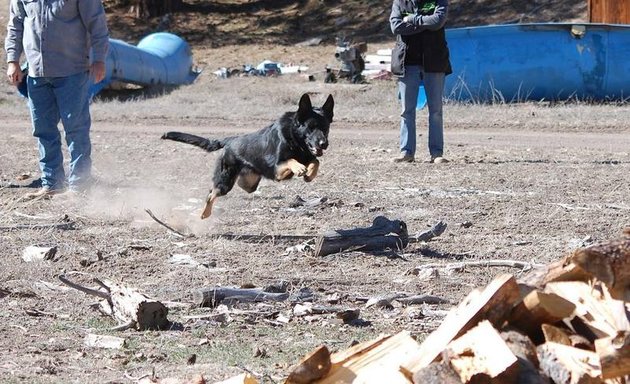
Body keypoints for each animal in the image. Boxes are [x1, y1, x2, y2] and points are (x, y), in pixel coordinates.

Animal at [163, 93, 336, 219]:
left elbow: (316, 161)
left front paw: (310, 174)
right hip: (225, 183)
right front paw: (299, 168)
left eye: (326, 128)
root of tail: (230, 140)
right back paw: (204, 213)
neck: (295, 139)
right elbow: (290, 160)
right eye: (311, 127)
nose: (324, 144)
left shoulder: (307, 157)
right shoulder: (277, 169)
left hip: (249, 182)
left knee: (240, 185)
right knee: (211, 193)